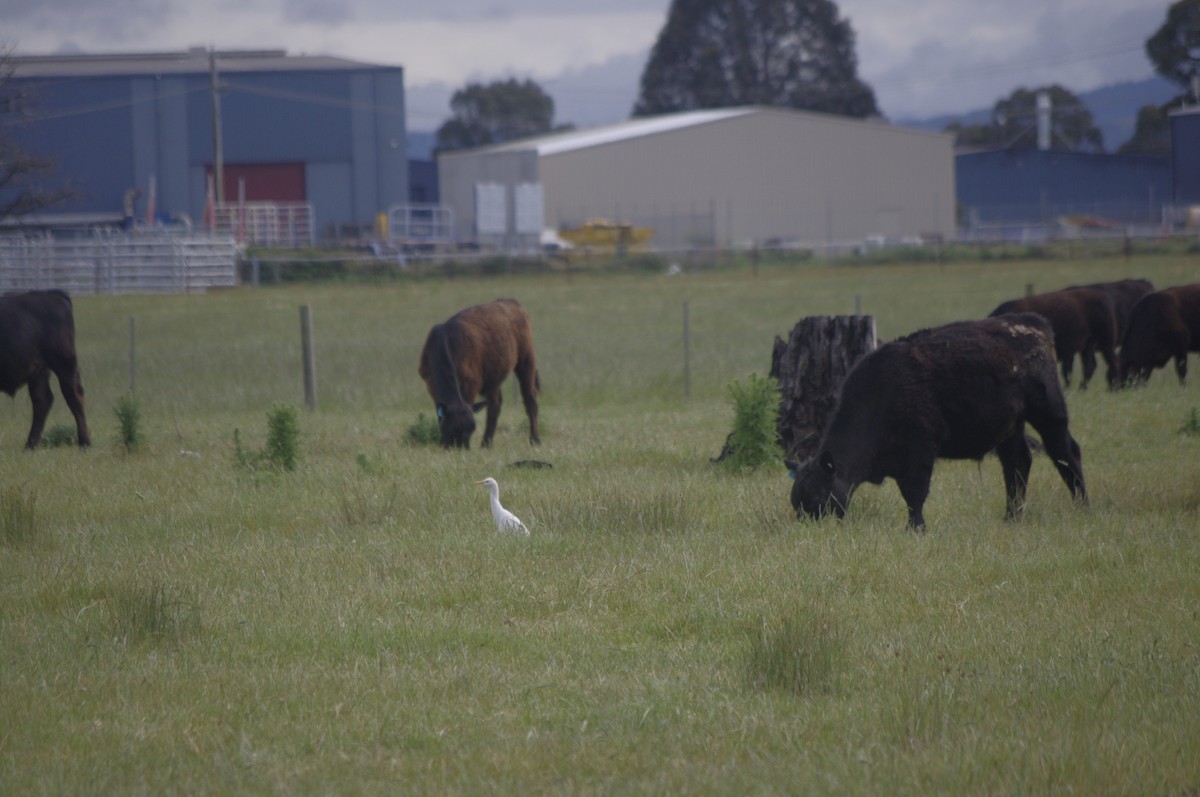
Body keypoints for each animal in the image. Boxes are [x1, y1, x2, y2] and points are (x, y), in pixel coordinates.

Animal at [0, 289, 91, 449]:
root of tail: (52, 294)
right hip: (39, 372)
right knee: (42, 401)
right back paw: (30, 446)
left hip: (63, 364)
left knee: (74, 395)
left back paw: (85, 442)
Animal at [418, 298, 540, 449]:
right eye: (452, 428)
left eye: (471, 429)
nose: (463, 448)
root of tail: (512, 303)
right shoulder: (431, 385)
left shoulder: (470, 384)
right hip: (493, 378)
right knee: (495, 404)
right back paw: (486, 443)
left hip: (526, 361)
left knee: (530, 400)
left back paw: (534, 440)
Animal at [790, 314, 1087, 530]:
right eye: (796, 502)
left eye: (817, 497)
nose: (810, 526)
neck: (882, 393)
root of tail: (1034, 323)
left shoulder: (921, 450)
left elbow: (915, 493)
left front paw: (916, 528)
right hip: (1011, 429)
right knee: (1018, 464)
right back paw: (1011, 517)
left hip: (1049, 414)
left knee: (1065, 453)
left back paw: (1082, 507)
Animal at [989, 285, 1119, 390]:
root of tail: (1102, 295)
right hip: (1088, 345)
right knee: (1090, 365)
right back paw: (1081, 388)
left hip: (1106, 342)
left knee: (1113, 362)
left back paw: (1115, 388)